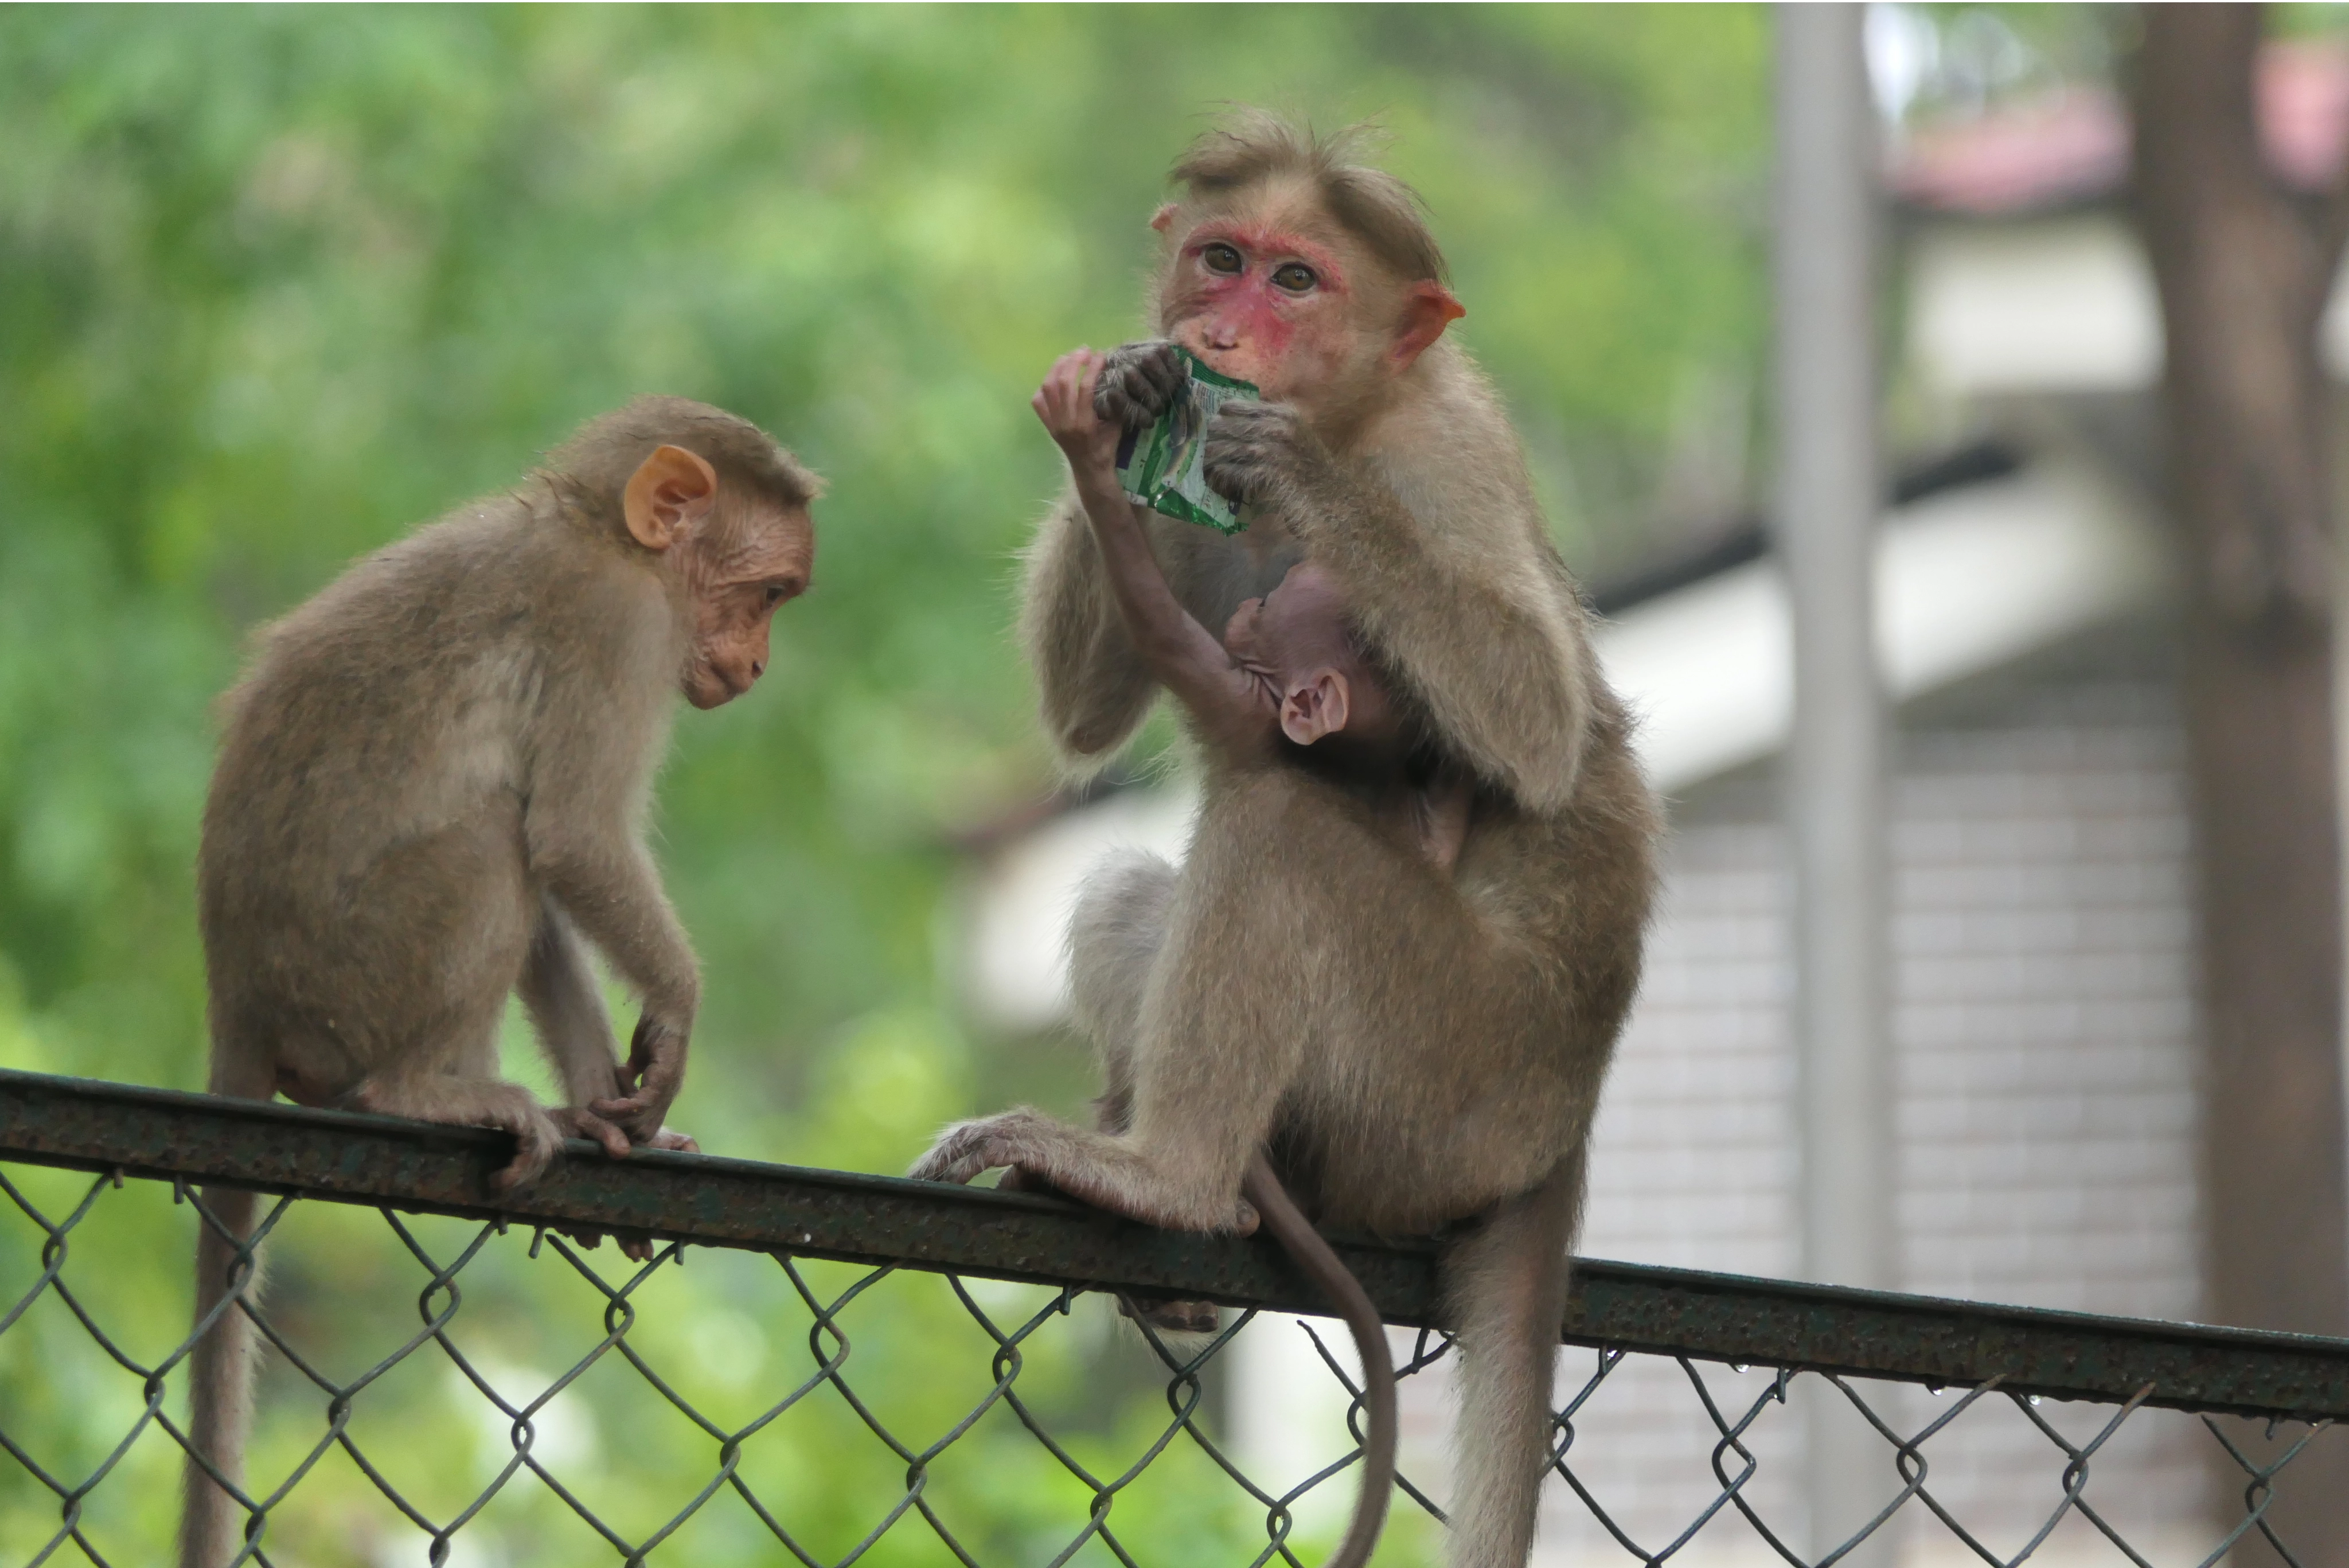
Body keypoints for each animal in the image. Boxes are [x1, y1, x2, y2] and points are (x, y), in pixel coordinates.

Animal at [178, 395, 817, 1568]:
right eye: (765, 594)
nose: (754, 666)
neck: (603, 537)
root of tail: (233, 993)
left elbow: (557, 880)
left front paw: (615, 1113)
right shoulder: (617, 628)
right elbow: (572, 835)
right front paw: (678, 1011)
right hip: (356, 974)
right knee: (489, 840)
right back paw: (430, 1091)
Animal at [907, 113, 1663, 1568]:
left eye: (1296, 279)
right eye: (1223, 258)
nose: (1220, 328)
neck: (1359, 405)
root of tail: (1567, 1124)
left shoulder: (1448, 456)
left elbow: (1536, 728)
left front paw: (1295, 466)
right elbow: (1087, 710)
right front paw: (1118, 401)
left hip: (1437, 1086)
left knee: (1279, 834)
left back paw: (1169, 1178)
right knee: (1135, 884)